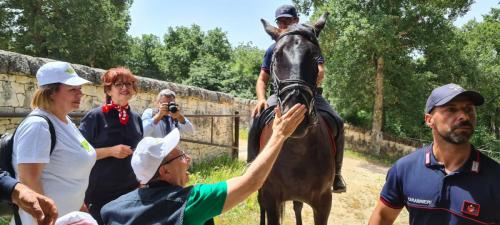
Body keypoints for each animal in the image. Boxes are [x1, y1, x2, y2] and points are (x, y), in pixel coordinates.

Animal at [254, 12, 336, 225]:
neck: (297, 150)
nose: (295, 111)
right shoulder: (270, 196)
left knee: (297, 206)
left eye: (316, 58)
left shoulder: (324, 202)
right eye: (276, 56)